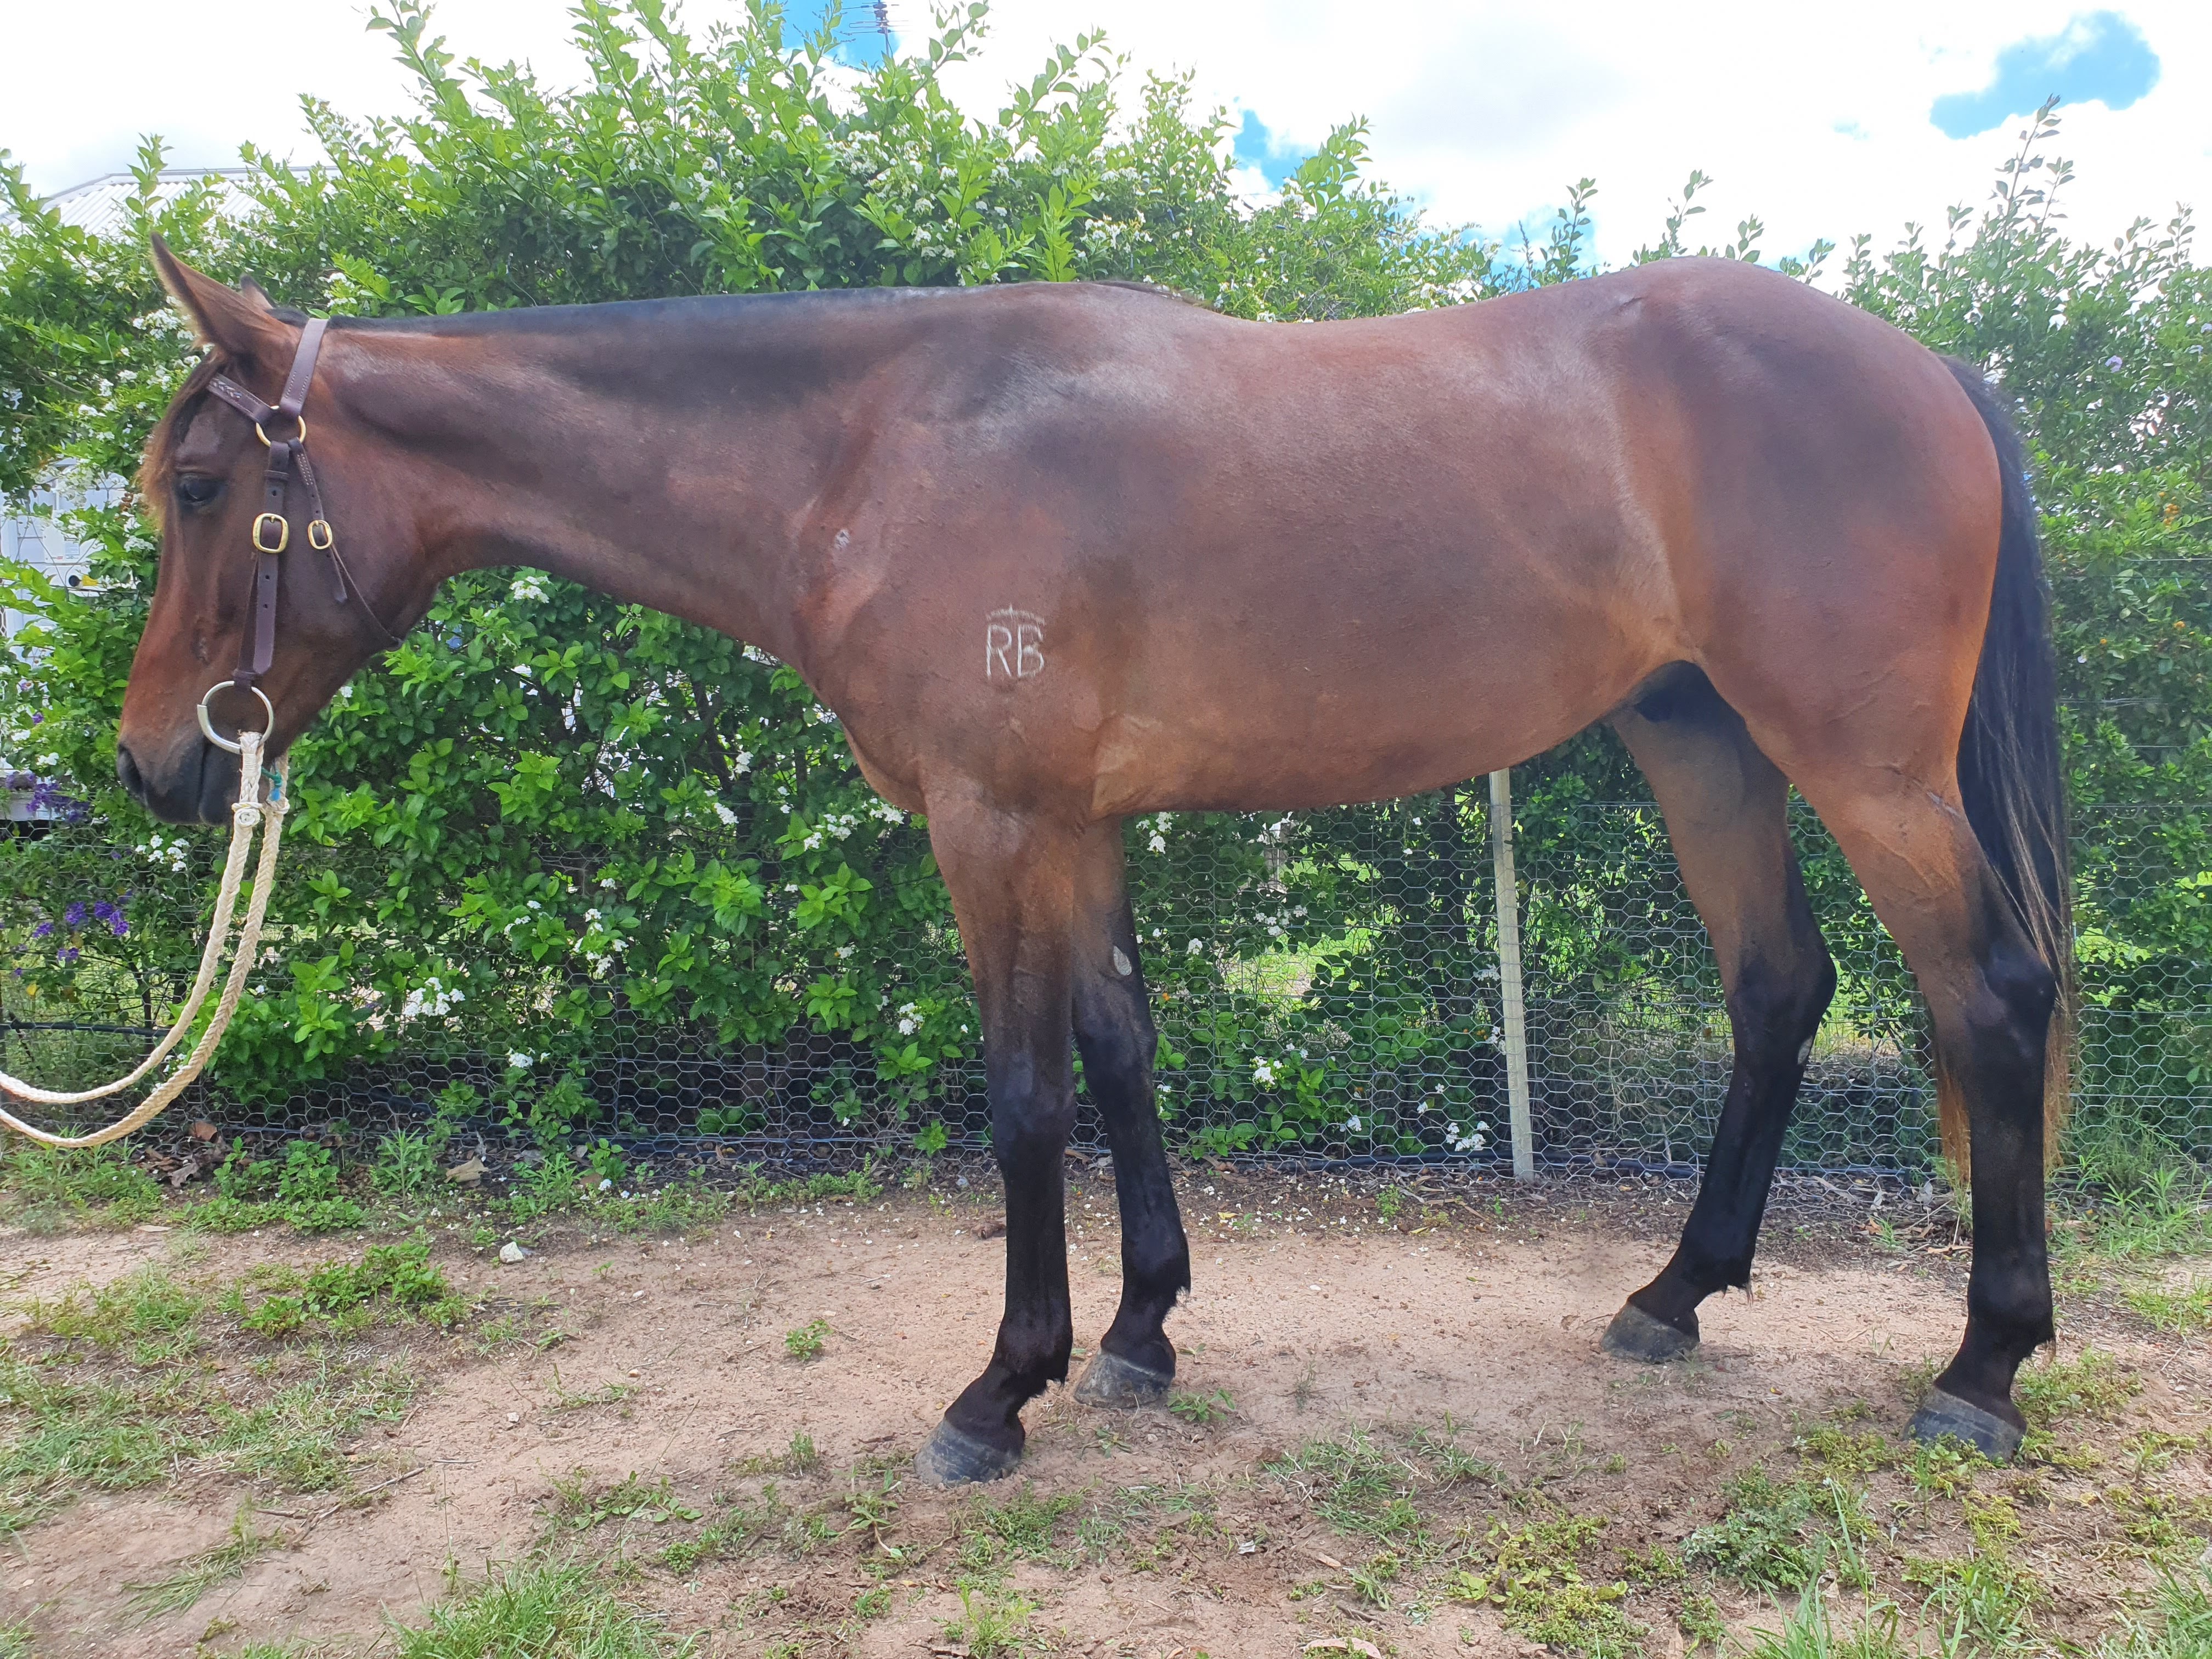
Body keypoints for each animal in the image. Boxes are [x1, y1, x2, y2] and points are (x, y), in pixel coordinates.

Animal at [120, 238, 2071, 1482]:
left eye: (205, 487)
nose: (157, 764)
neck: (870, 448)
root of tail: (1931, 366)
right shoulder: (1079, 826)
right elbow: (1125, 1055)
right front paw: (1140, 1337)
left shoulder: (991, 824)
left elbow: (1023, 1098)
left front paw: (1003, 1390)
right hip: (1702, 741)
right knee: (1780, 991)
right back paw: (1673, 1298)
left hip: (1863, 766)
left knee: (1988, 998)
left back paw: (1982, 1367)